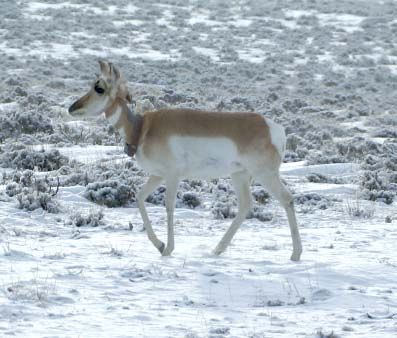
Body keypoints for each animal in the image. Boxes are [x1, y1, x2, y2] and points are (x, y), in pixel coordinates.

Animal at [69, 61, 302, 262]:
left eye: (99, 87)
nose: (72, 108)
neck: (142, 128)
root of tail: (274, 128)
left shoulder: (173, 176)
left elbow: (169, 206)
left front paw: (168, 249)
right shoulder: (157, 175)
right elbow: (139, 197)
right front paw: (160, 245)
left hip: (265, 174)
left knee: (287, 199)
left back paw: (296, 254)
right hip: (240, 176)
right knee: (246, 205)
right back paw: (217, 249)